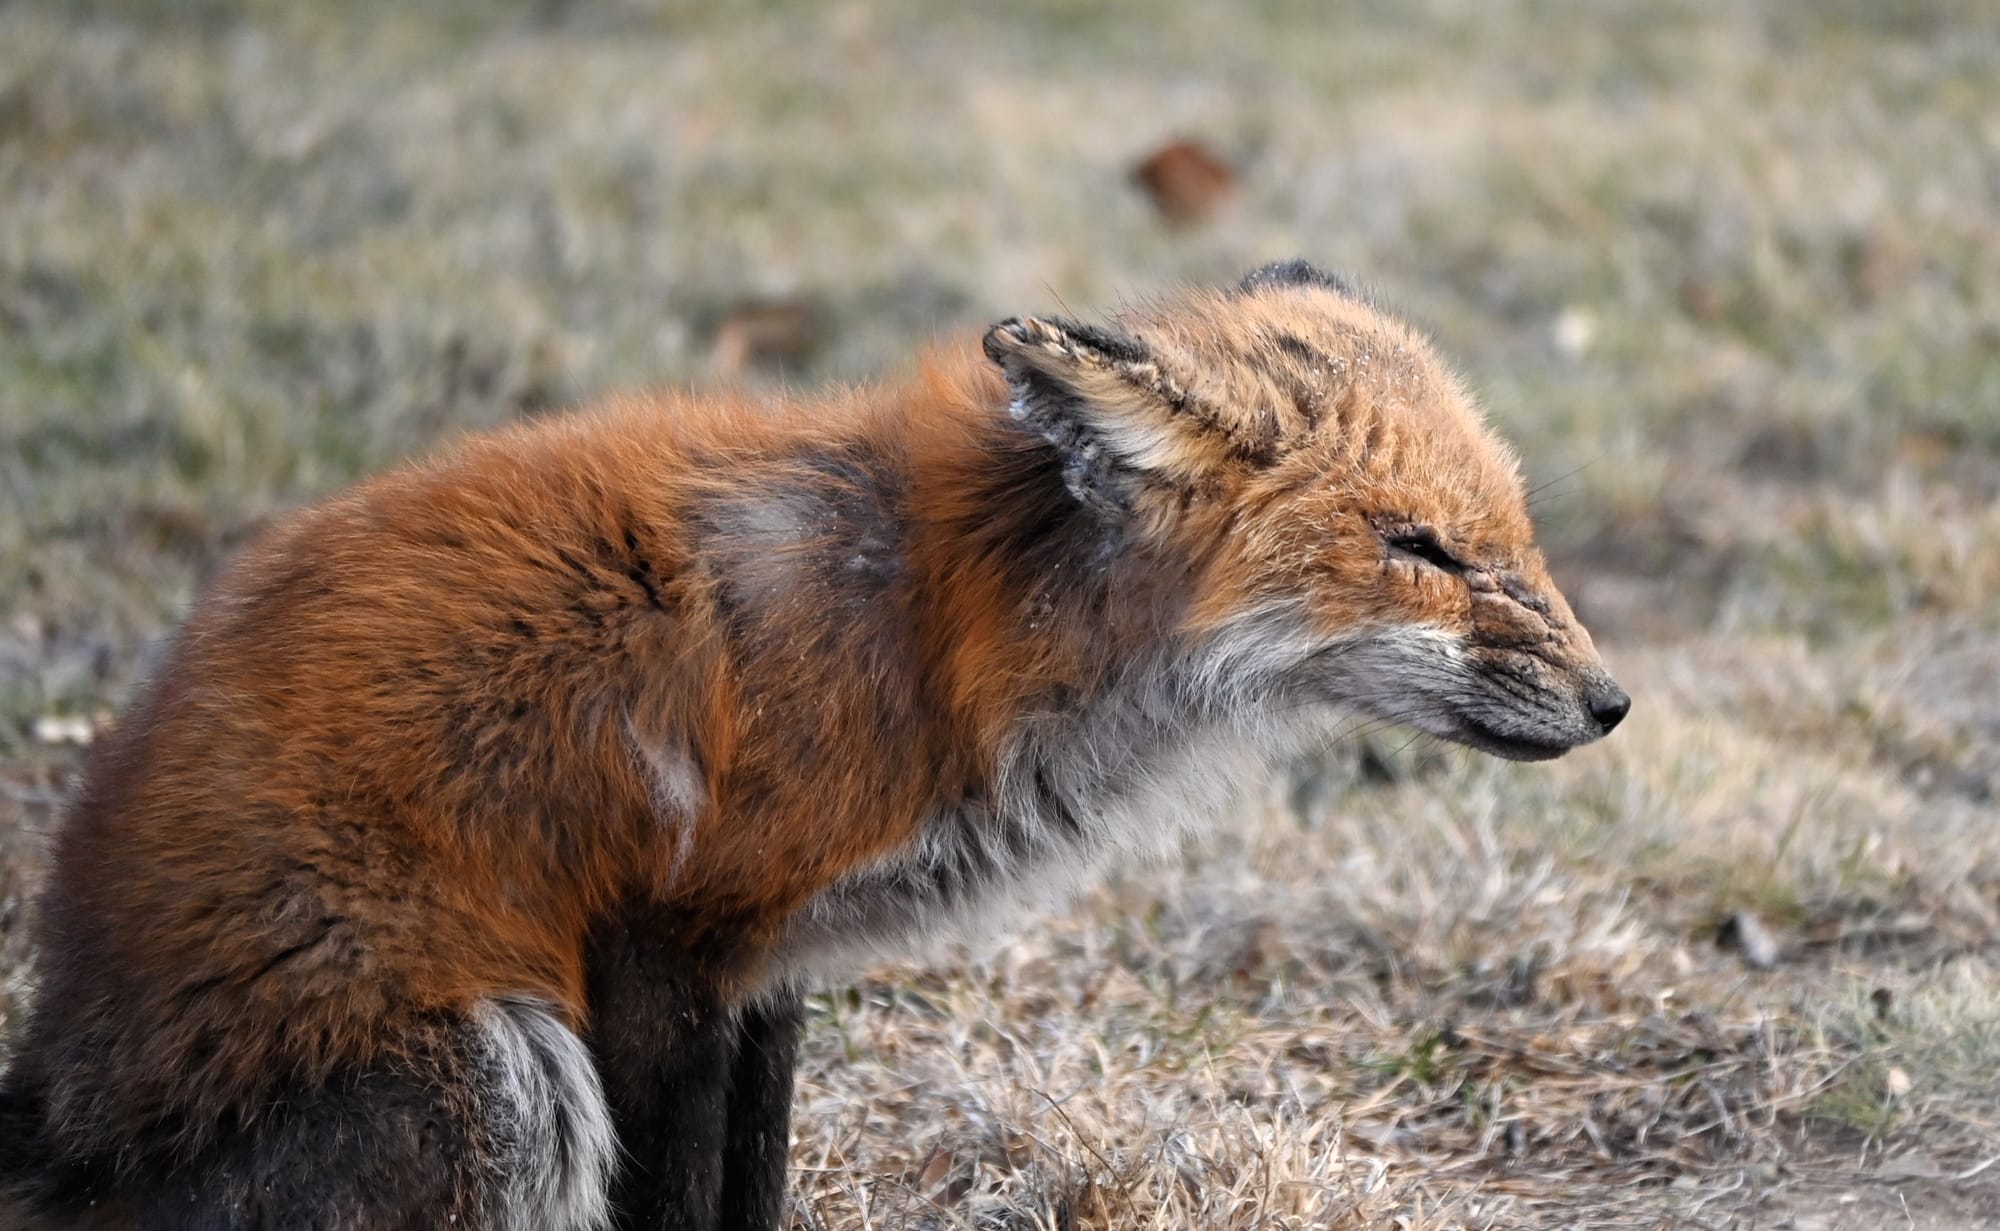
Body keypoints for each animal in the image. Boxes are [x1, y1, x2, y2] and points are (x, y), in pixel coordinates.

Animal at [0, 262, 1626, 1230]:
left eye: (1513, 536)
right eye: (1420, 549)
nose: (1611, 704)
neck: (934, 625)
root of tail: (54, 1115)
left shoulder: (768, 960)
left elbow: (756, 1183)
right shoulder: (656, 943)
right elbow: (673, 1201)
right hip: (501, 1068)